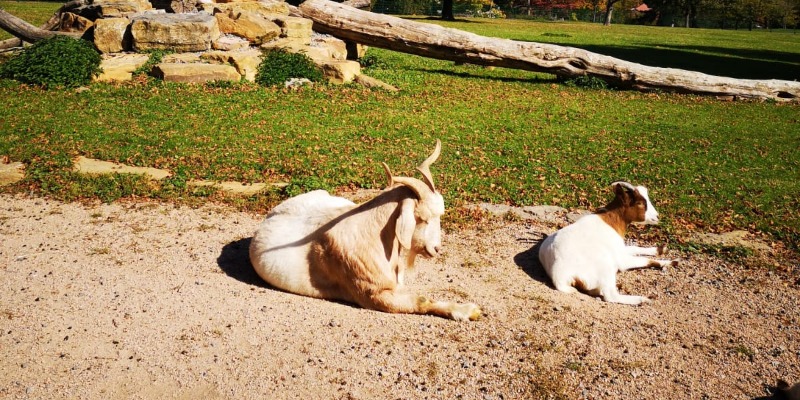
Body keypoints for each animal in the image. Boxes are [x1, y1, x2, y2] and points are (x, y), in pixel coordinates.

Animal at [247, 141, 482, 322]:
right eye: (422, 218)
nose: (436, 249)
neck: (375, 238)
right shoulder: (372, 295)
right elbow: (421, 300)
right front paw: (467, 310)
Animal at [536, 180, 676, 304]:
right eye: (640, 203)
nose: (657, 216)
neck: (611, 220)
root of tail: (558, 276)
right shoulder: (621, 260)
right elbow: (646, 260)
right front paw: (671, 262)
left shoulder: (620, 248)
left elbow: (635, 247)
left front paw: (661, 249)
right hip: (605, 266)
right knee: (611, 296)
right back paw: (643, 299)